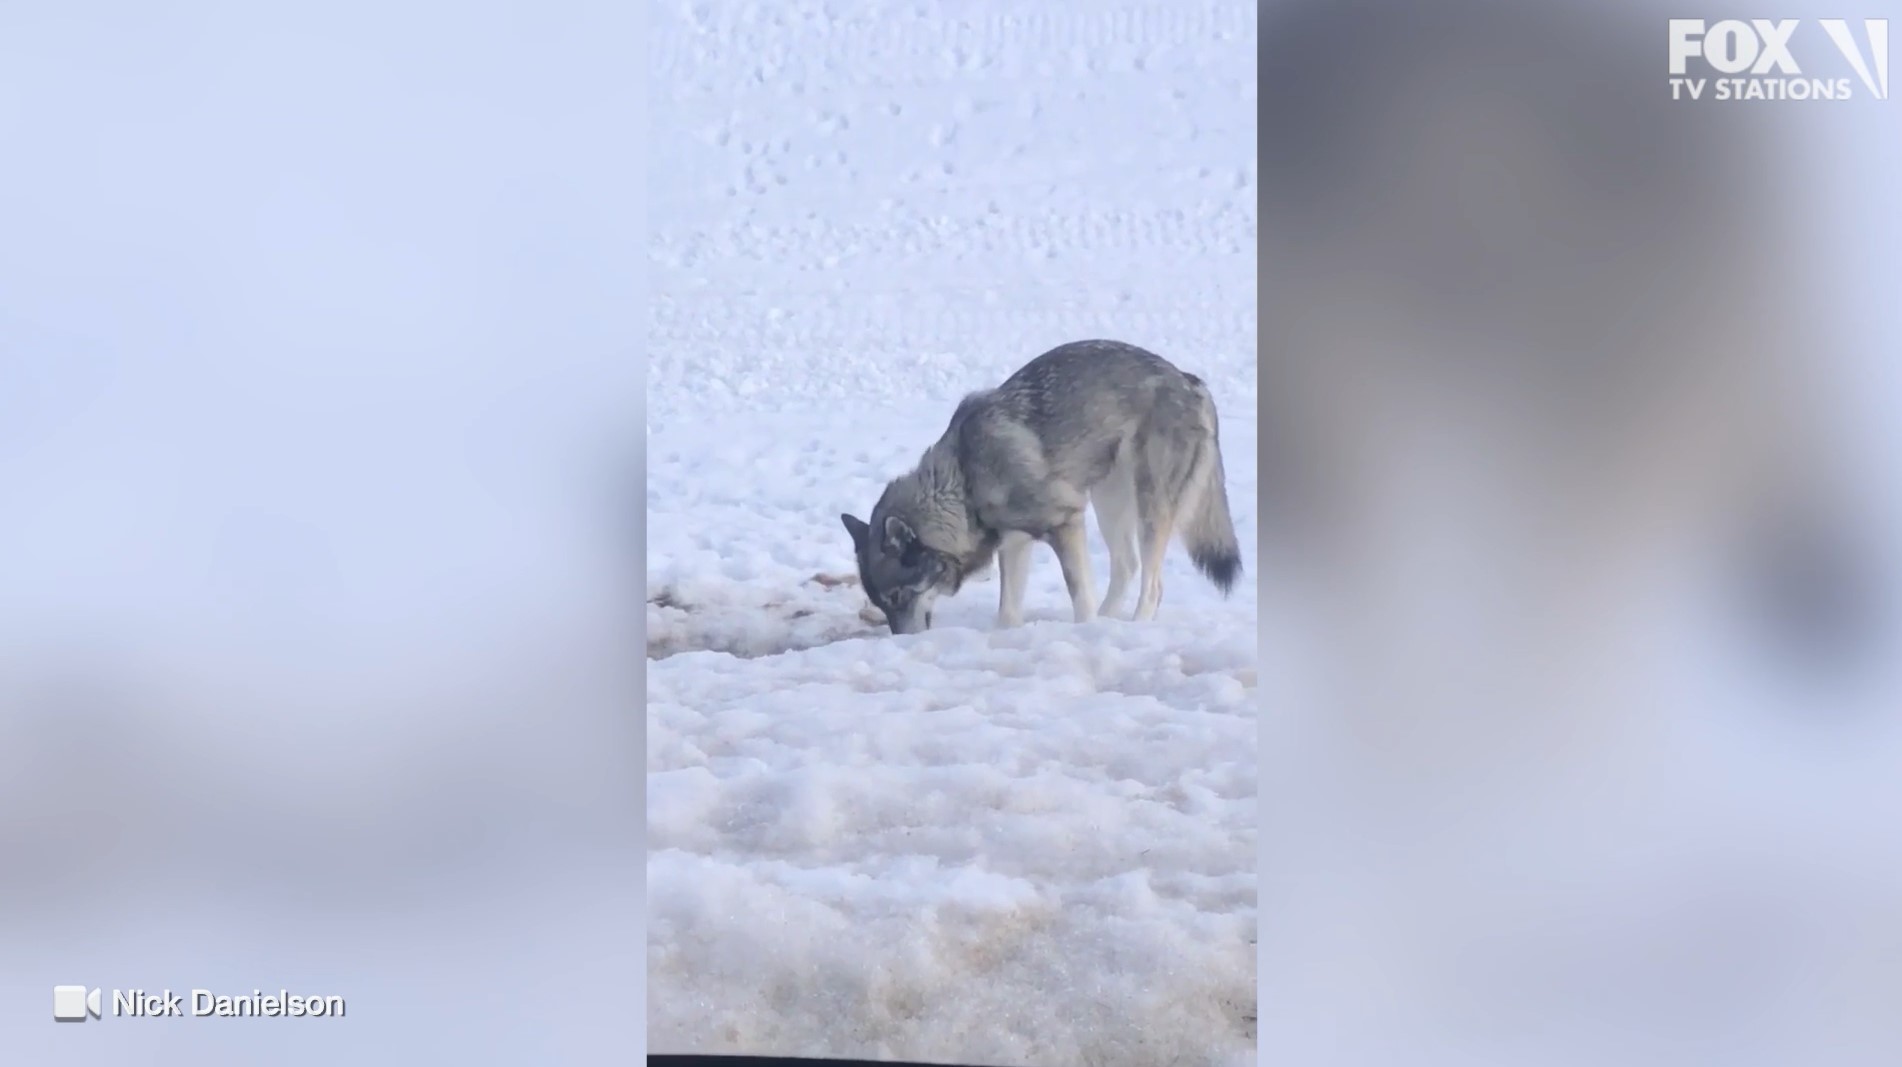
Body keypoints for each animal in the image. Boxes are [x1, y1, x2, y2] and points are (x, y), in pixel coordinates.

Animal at [841, 339, 1241, 635]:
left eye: (897, 596)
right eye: (880, 603)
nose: (901, 641)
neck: (965, 481)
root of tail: (1190, 381)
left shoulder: (1066, 521)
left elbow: (1080, 595)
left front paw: (1085, 631)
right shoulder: (1014, 543)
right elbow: (1007, 611)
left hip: (1150, 508)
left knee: (1152, 586)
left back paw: (1132, 627)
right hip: (1109, 502)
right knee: (1126, 565)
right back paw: (1110, 621)